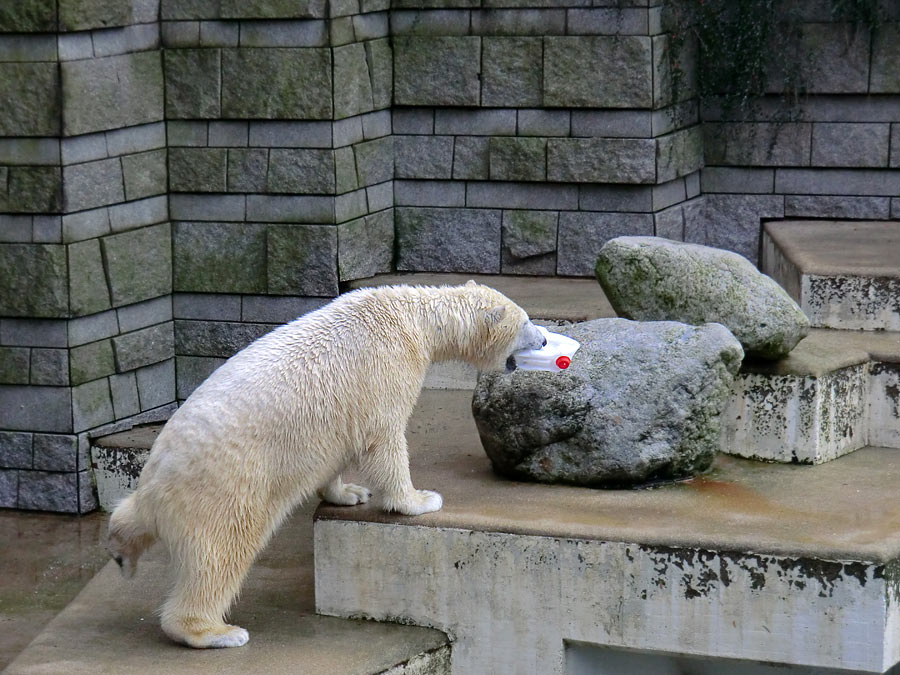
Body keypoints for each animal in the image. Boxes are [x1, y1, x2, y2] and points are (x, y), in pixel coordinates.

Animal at [105, 282, 540, 648]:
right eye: (525, 322)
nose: (543, 337)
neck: (413, 318)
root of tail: (156, 485)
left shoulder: (337, 414)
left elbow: (336, 452)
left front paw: (349, 492)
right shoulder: (386, 368)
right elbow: (385, 438)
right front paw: (419, 499)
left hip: (166, 489)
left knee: (131, 518)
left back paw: (122, 553)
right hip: (224, 489)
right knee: (221, 556)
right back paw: (217, 632)